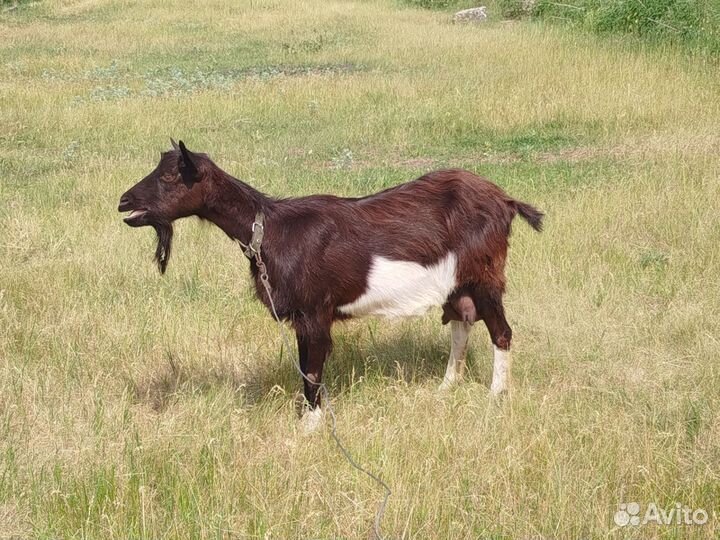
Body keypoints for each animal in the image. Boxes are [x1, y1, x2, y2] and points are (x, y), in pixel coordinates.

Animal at [118, 140, 543, 431]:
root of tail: (506, 201)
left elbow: (312, 369)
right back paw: (446, 386)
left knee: (501, 331)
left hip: (485, 274)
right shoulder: (300, 318)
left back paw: (496, 394)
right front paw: (307, 418)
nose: (124, 202)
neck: (269, 229)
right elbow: (304, 363)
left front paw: (310, 427)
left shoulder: (315, 311)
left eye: (171, 176)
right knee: (461, 320)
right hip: (457, 283)